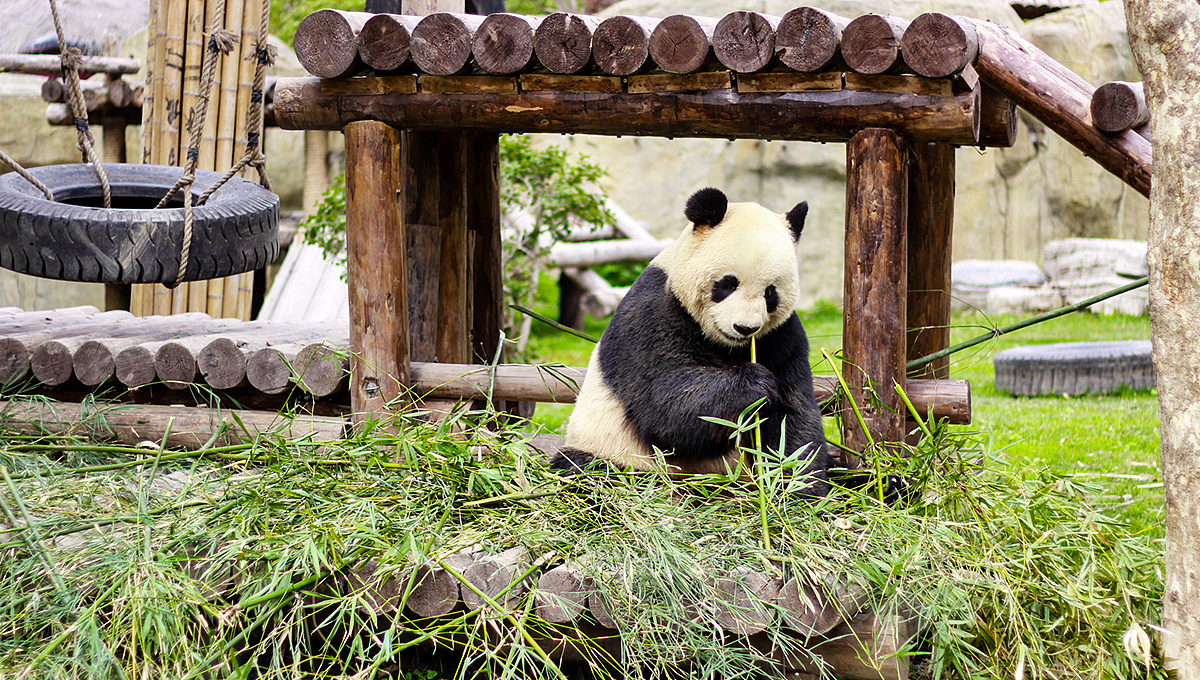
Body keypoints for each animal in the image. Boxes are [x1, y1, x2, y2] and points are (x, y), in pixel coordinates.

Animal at [549, 185, 825, 494]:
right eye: (727, 283)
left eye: (770, 292)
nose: (745, 328)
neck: (728, 345)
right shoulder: (652, 315)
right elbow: (666, 403)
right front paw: (756, 382)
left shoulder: (781, 336)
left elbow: (794, 417)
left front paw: (798, 487)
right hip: (610, 449)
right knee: (588, 470)